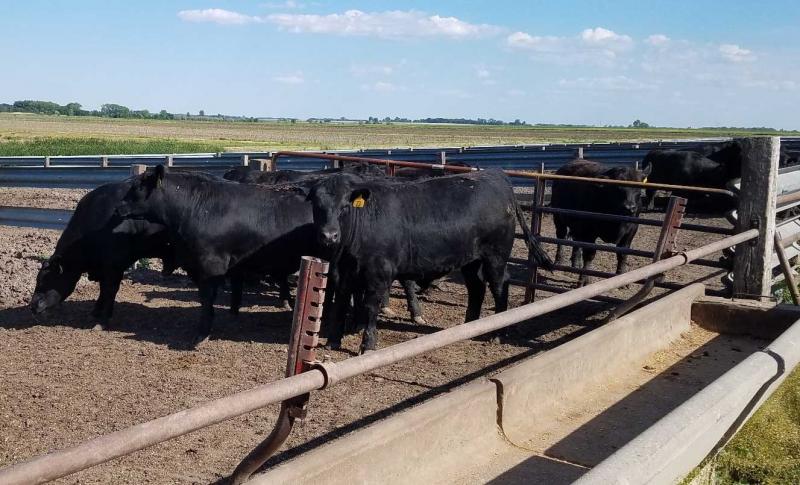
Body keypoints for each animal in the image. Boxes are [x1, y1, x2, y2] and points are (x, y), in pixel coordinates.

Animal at [29, 180, 178, 329]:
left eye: (47, 280)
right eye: (37, 279)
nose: (33, 306)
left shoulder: (115, 267)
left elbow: (109, 290)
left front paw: (104, 319)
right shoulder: (103, 267)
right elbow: (102, 290)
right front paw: (96, 311)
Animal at [307, 169, 553, 353]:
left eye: (345, 206)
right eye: (317, 206)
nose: (329, 235)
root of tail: (495, 175)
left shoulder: (379, 274)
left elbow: (370, 307)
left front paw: (367, 345)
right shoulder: (342, 270)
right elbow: (340, 303)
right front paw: (332, 341)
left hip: (496, 256)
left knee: (500, 285)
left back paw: (498, 333)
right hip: (470, 260)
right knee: (476, 287)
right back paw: (469, 326)